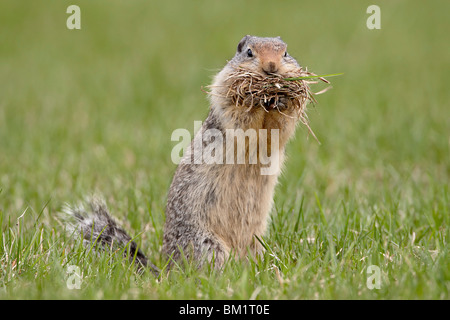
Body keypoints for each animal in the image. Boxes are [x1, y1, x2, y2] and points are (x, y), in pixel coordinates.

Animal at [64, 35, 306, 276]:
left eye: (285, 52)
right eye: (249, 52)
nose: (271, 67)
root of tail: (168, 271)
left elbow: (279, 129)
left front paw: (281, 99)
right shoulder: (224, 96)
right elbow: (243, 119)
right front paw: (254, 99)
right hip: (207, 245)